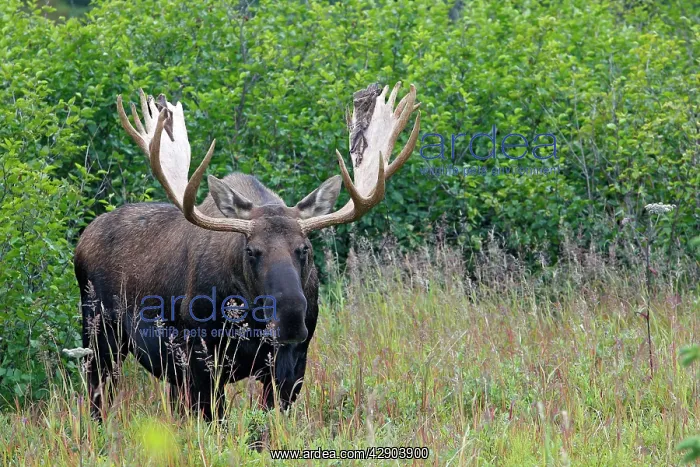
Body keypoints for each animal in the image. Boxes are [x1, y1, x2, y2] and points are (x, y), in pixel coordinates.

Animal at [74, 81, 420, 421]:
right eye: (252, 251)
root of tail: (82, 239)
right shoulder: (200, 356)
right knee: (96, 399)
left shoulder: (293, 362)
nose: (291, 317)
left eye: (304, 248)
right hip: (100, 336)